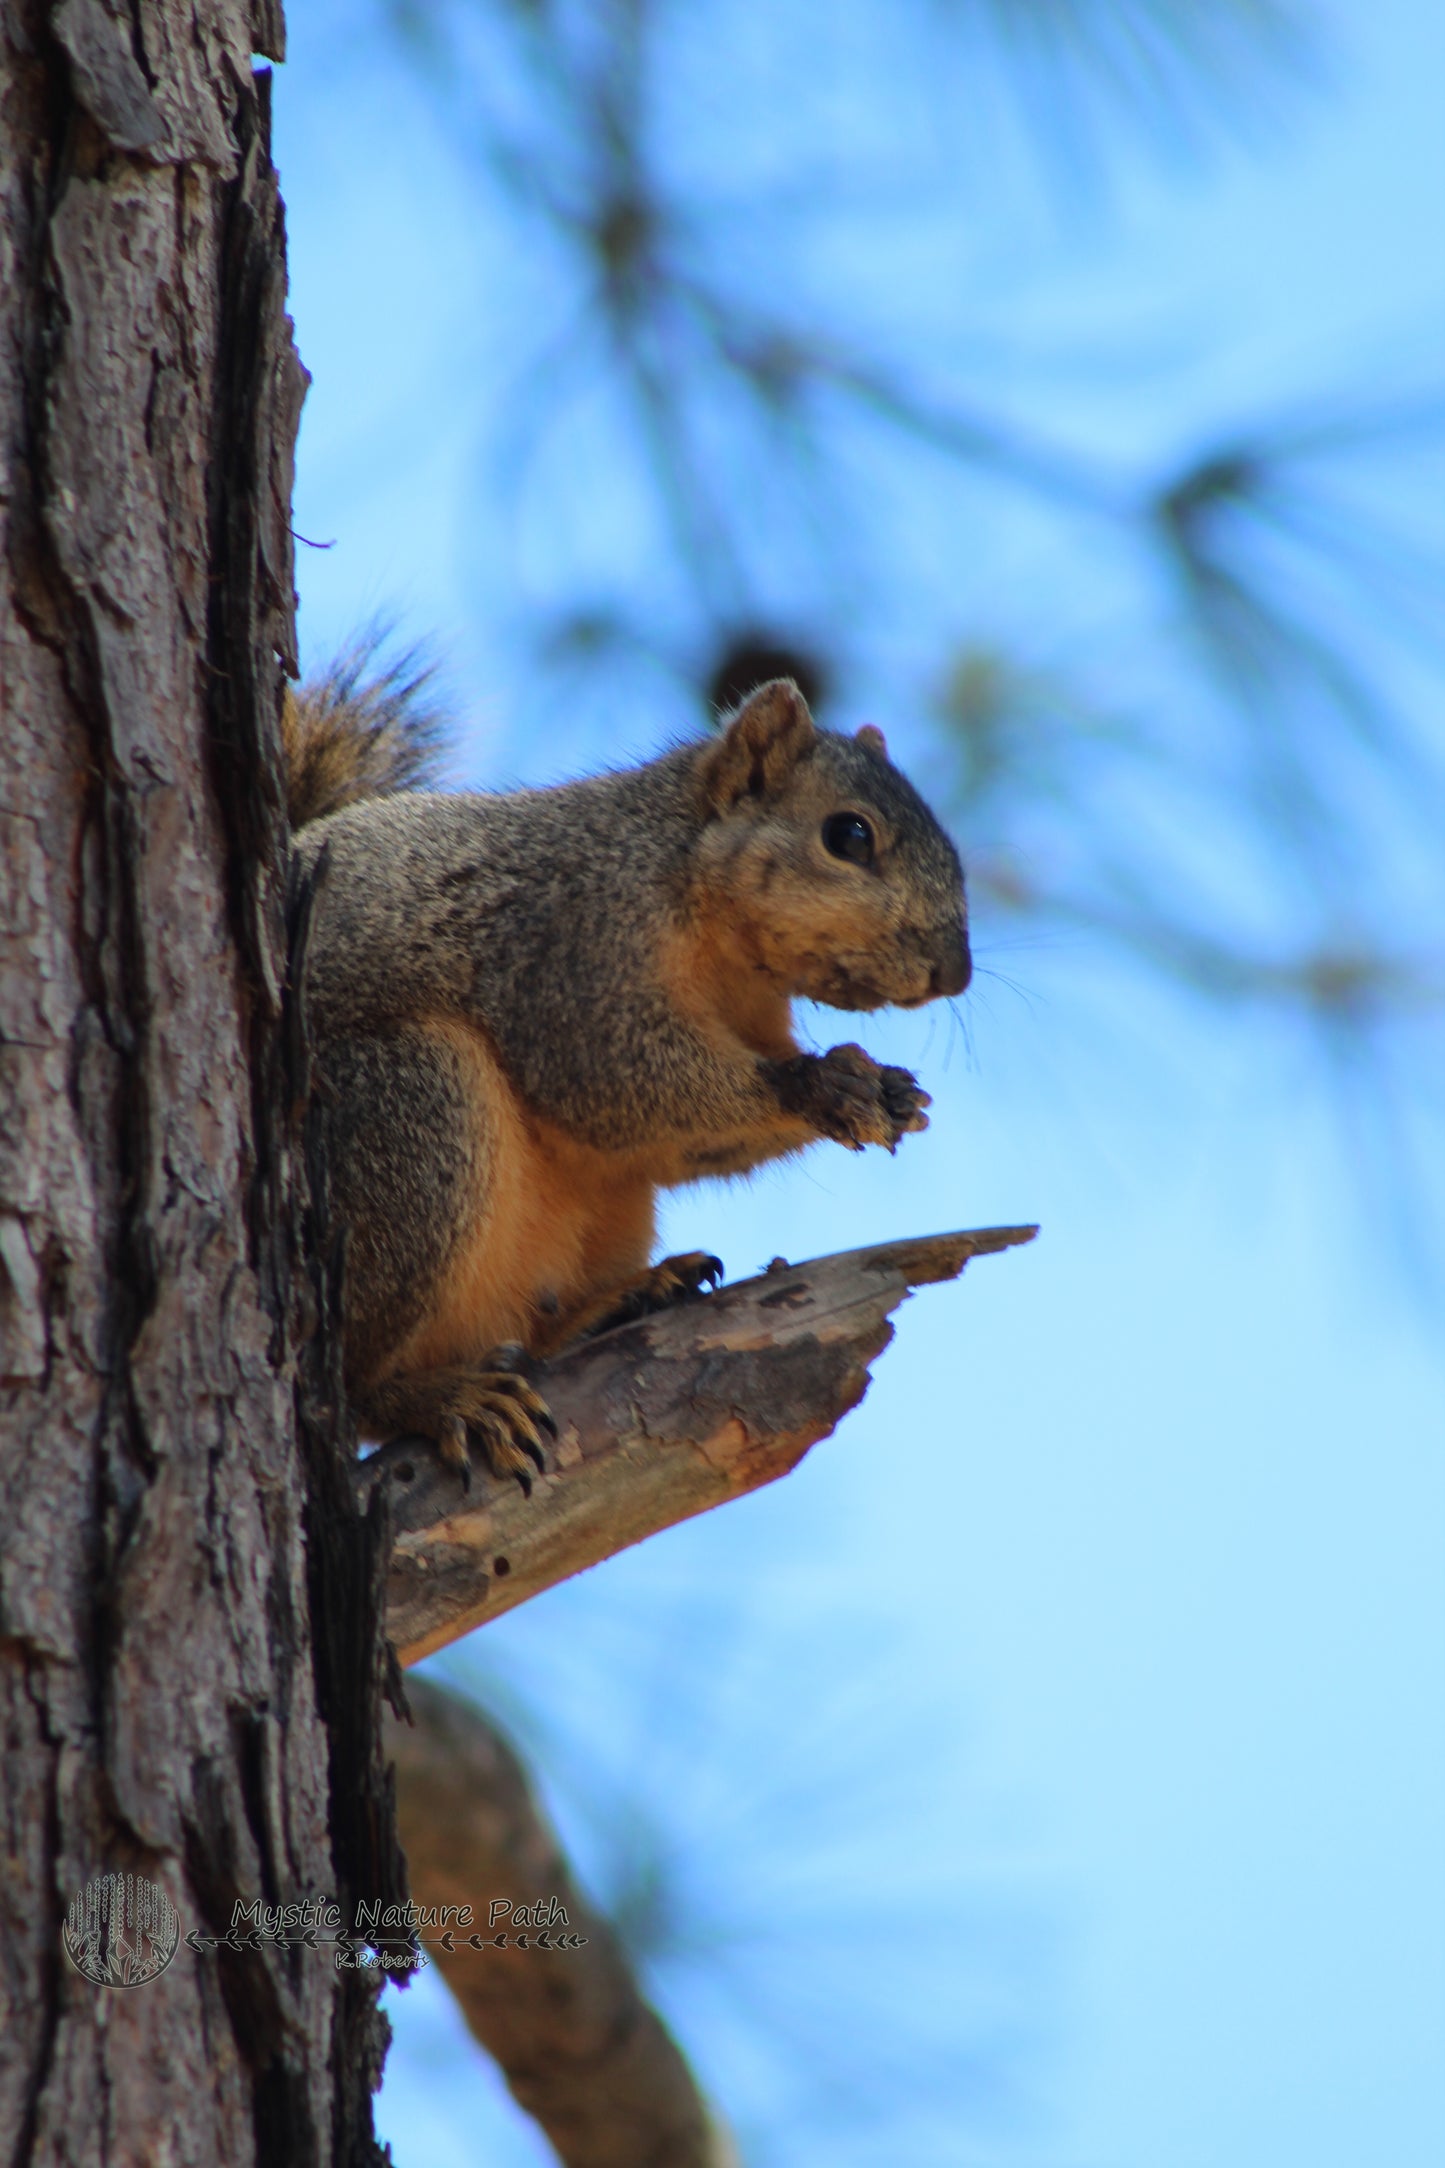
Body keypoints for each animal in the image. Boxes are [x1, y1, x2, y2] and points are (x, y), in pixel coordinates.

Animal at [288, 667, 970, 1482]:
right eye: (849, 835)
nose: (955, 972)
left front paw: (889, 1090)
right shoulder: (570, 952)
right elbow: (607, 1076)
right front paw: (822, 1087)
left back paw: (623, 1301)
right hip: (412, 1113)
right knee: (361, 1386)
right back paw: (443, 1398)